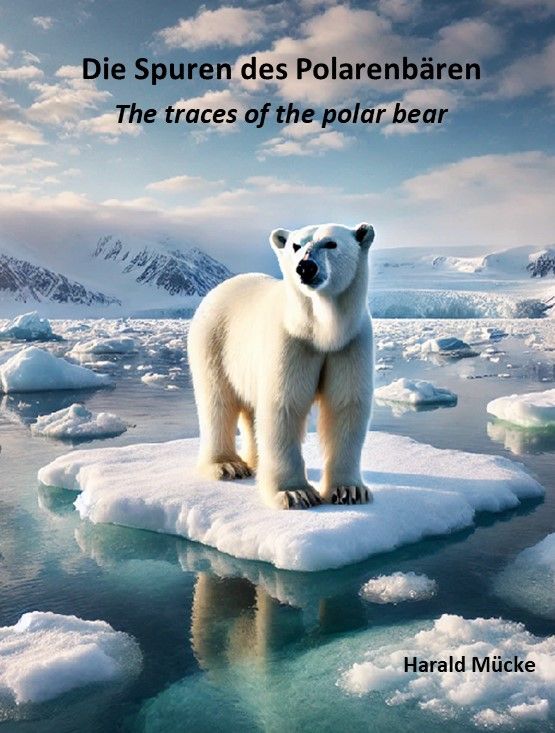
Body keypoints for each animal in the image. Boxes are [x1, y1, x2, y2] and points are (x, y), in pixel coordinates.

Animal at [187, 222, 375, 509]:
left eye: (330, 243)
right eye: (296, 245)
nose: (305, 267)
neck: (322, 332)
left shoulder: (350, 344)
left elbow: (346, 405)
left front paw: (349, 490)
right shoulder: (290, 341)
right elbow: (285, 405)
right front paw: (295, 493)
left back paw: (254, 463)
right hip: (213, 343)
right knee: (217, 402)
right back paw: (228, 465)